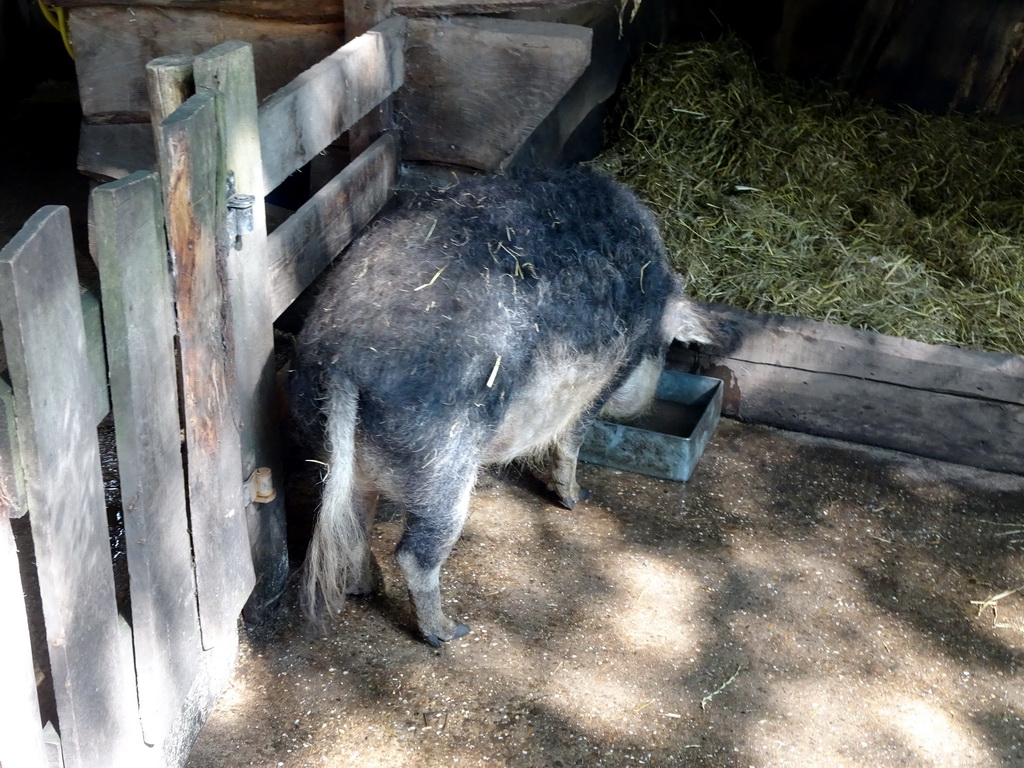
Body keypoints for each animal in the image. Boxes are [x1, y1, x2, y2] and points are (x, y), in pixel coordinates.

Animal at [284, 165, 708, 647]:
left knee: (352, 522)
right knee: (416, 552)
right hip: (442, 457)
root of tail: (344, 360)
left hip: (325, 442)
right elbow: (572, 440)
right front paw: (576, 499)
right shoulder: (608, 376)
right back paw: (449, 632)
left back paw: (366, 587)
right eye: (668, 346)